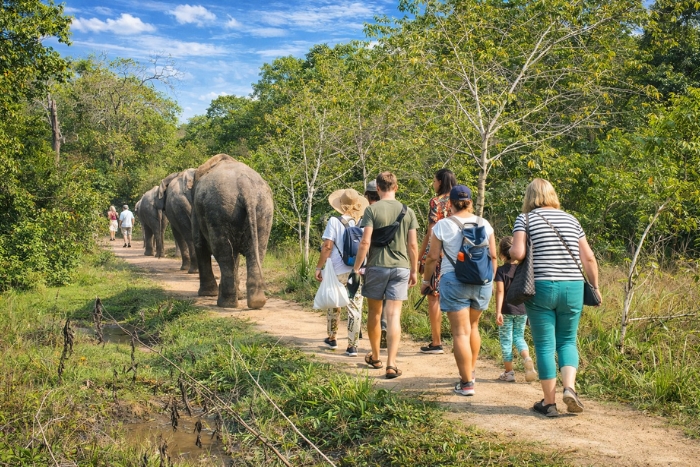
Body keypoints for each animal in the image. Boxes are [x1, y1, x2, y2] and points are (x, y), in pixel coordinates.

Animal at [192, 154, 273, 309]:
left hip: (220, 210)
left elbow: (200, 244)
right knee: (257, 250)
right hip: (263, 209)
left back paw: (226, 304)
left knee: (224, 253)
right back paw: (256, 302)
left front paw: (207, 294)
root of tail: (245, 186)